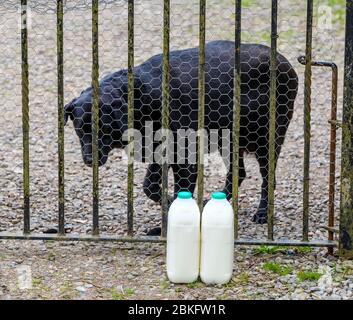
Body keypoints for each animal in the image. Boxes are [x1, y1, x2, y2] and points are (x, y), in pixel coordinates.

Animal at [64, 40, 296, 226]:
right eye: (80, 130)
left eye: (102, 128)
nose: (89, 160)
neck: (142, 98)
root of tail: (285, 62)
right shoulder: (160, 154)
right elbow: (150, 187)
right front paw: (167, 204)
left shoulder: (186, 158)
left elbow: (180, 192)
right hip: (228, 141)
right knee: (238, 173)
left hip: (267, 141)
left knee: (268, 179)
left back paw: (262, 213)